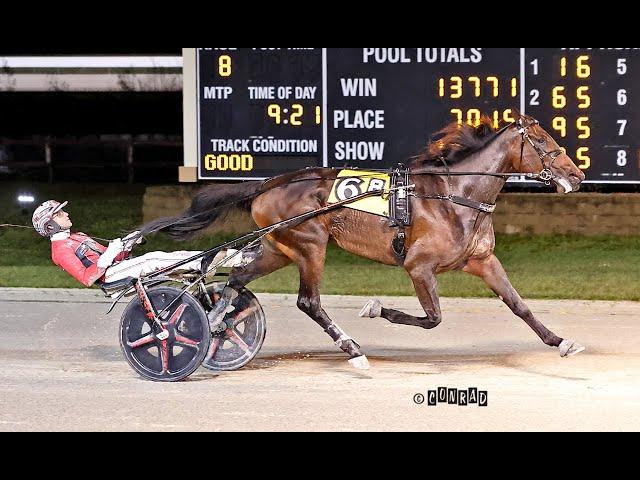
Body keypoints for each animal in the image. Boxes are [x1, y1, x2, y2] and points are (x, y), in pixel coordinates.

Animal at [144, 116, 584, 372]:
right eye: (544, 141)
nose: (577, 174)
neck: (456, 194)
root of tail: (269, 183)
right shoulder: (419, 267)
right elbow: (433, 318)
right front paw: (375, 308)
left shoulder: (483, 260)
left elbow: (519, 305)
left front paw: (561, 341)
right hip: (310, 245)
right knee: (308, 301)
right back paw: (352, 349)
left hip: (278, 248)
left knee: (236, 279)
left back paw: (217, 322)